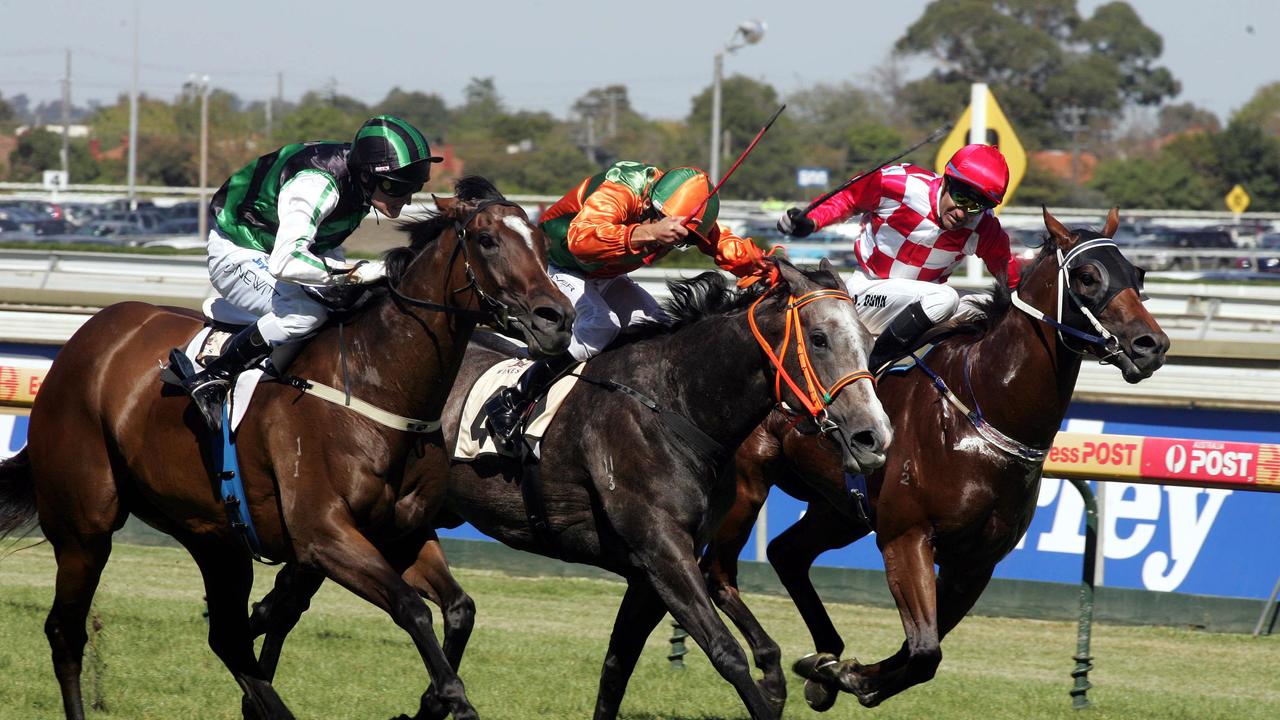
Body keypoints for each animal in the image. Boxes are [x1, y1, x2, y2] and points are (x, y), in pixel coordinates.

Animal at [0, 176, 576, 717]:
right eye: (487, 240)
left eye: (542, 245)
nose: (557, 319)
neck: (372, 382)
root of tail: (87, 337)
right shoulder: (324, 535)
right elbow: (410, 608)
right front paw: (453, 698)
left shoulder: (402, 532)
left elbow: (460, 608)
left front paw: (433, 701)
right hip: (84, 526)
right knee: (66, 631)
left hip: (212, 534)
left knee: (227, 636)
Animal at [244, 258, 896, 717]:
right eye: (819, 338)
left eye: (869, 341)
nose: (874, 435)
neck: (673, 401)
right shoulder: (663, 552)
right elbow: (725, 652)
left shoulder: (649, 570)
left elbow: (616, 668)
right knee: (289, 598)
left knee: (289, 599)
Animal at [701, 206, 1172, 707]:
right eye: (1087, 276)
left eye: (1138, 275)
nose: (1151, 345)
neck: (980, 411)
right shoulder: (906, 537)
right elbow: (925, 649)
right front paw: (849, 676)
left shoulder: (975, 562)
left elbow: (918, 651)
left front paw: (840, 674)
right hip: (749, 484)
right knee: (717, 571)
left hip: (841, 511)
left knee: (786, 553)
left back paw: (824, 656)